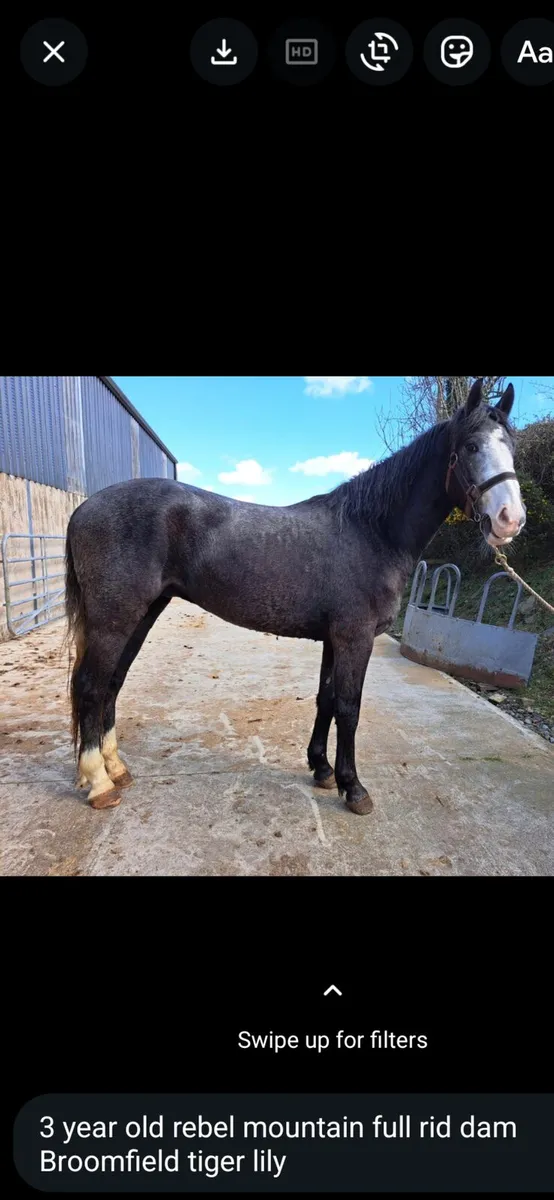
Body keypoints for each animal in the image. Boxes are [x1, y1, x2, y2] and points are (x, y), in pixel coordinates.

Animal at [65, 378, 526, 812]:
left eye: (512, 448)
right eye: (470, 446)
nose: (510, 519)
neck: (371, 531)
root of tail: (84, 508)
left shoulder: (333, 639)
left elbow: (326, 699)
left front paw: (321, 768)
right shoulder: (355, 638)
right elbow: (349, 707)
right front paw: (353, 788)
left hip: (142, 614)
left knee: (112, 683)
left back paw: (115, 768)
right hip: (115, 619)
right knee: (90, 685)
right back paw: (100, 783)